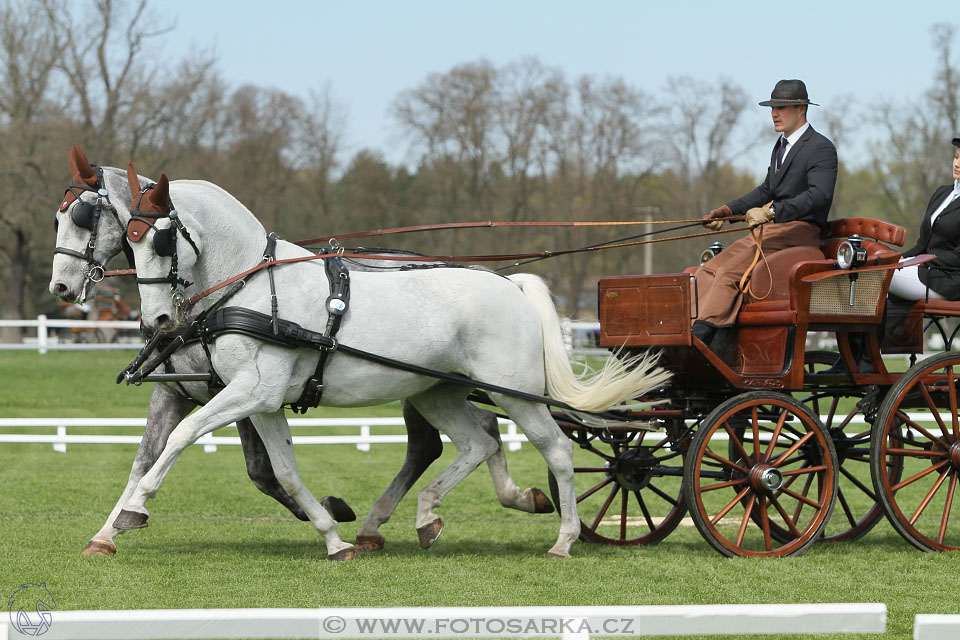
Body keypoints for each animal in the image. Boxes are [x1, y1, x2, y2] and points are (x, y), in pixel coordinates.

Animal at [114, 166, 668, 560]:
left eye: (159, 239)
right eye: (128, 241)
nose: (156, 319)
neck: (253, 288)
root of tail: (510, 283)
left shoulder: (253, 392)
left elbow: (183, 435)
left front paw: (135, 507)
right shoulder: (264, 401)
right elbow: (285, 471)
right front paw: (333, 539)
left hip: (514, 393)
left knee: (554, 449)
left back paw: (564, 538)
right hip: (438, 392)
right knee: (476, 443)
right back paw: (425, 518)